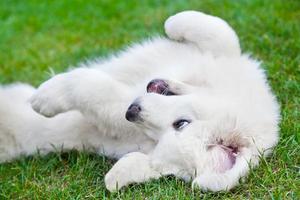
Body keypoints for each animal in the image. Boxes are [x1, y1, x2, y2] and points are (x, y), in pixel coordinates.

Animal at [0, 10, 278, 192]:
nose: (132, 111)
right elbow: (219, 30)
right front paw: (174, 23)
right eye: (182, 123)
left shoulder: (116, 114)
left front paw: (48, 96)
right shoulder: (227, 58)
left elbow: (95, 89)